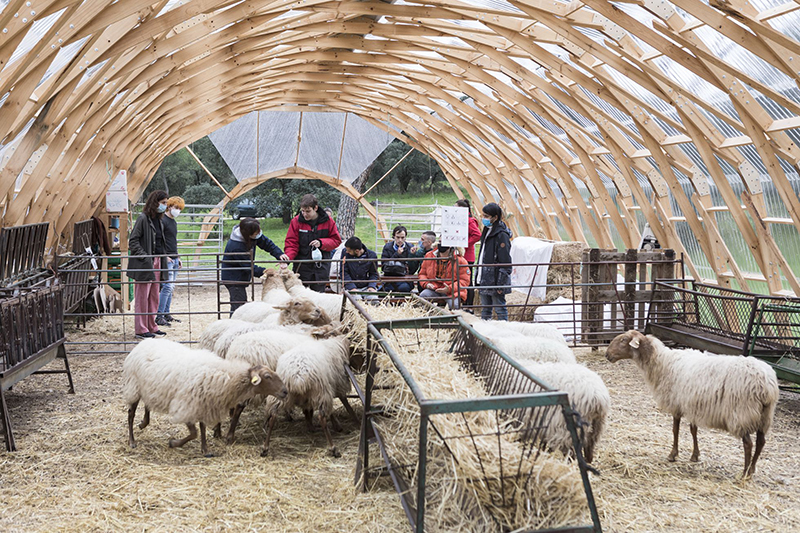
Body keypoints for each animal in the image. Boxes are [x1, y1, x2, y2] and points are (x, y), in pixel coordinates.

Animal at [122, 338, 288, 456]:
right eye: (267, 376)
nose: (285, 391)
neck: (227, 378)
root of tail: (143, 343)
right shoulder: (186, 405)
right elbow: (194, 432)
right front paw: (174, 443)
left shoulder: (203, 402)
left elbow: (201, 428)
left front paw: (205, 449)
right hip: (134, 386)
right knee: (130, 414)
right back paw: (131, 441)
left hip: (149, 387)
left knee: (147, 404)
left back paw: (143, 423)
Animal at [608, 328, 780, 478]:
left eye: (623, 340)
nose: (607, 354)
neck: (662, 362)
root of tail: (766, 386)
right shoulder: (692, 404)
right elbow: (693, 430)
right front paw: (695, 456)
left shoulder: (677, 403)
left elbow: (675, 430)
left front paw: (672, 455)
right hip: (765, 415)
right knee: (761, 442)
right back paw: (752, 469)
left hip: (742, 414)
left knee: (748, 444)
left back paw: (744, 473)